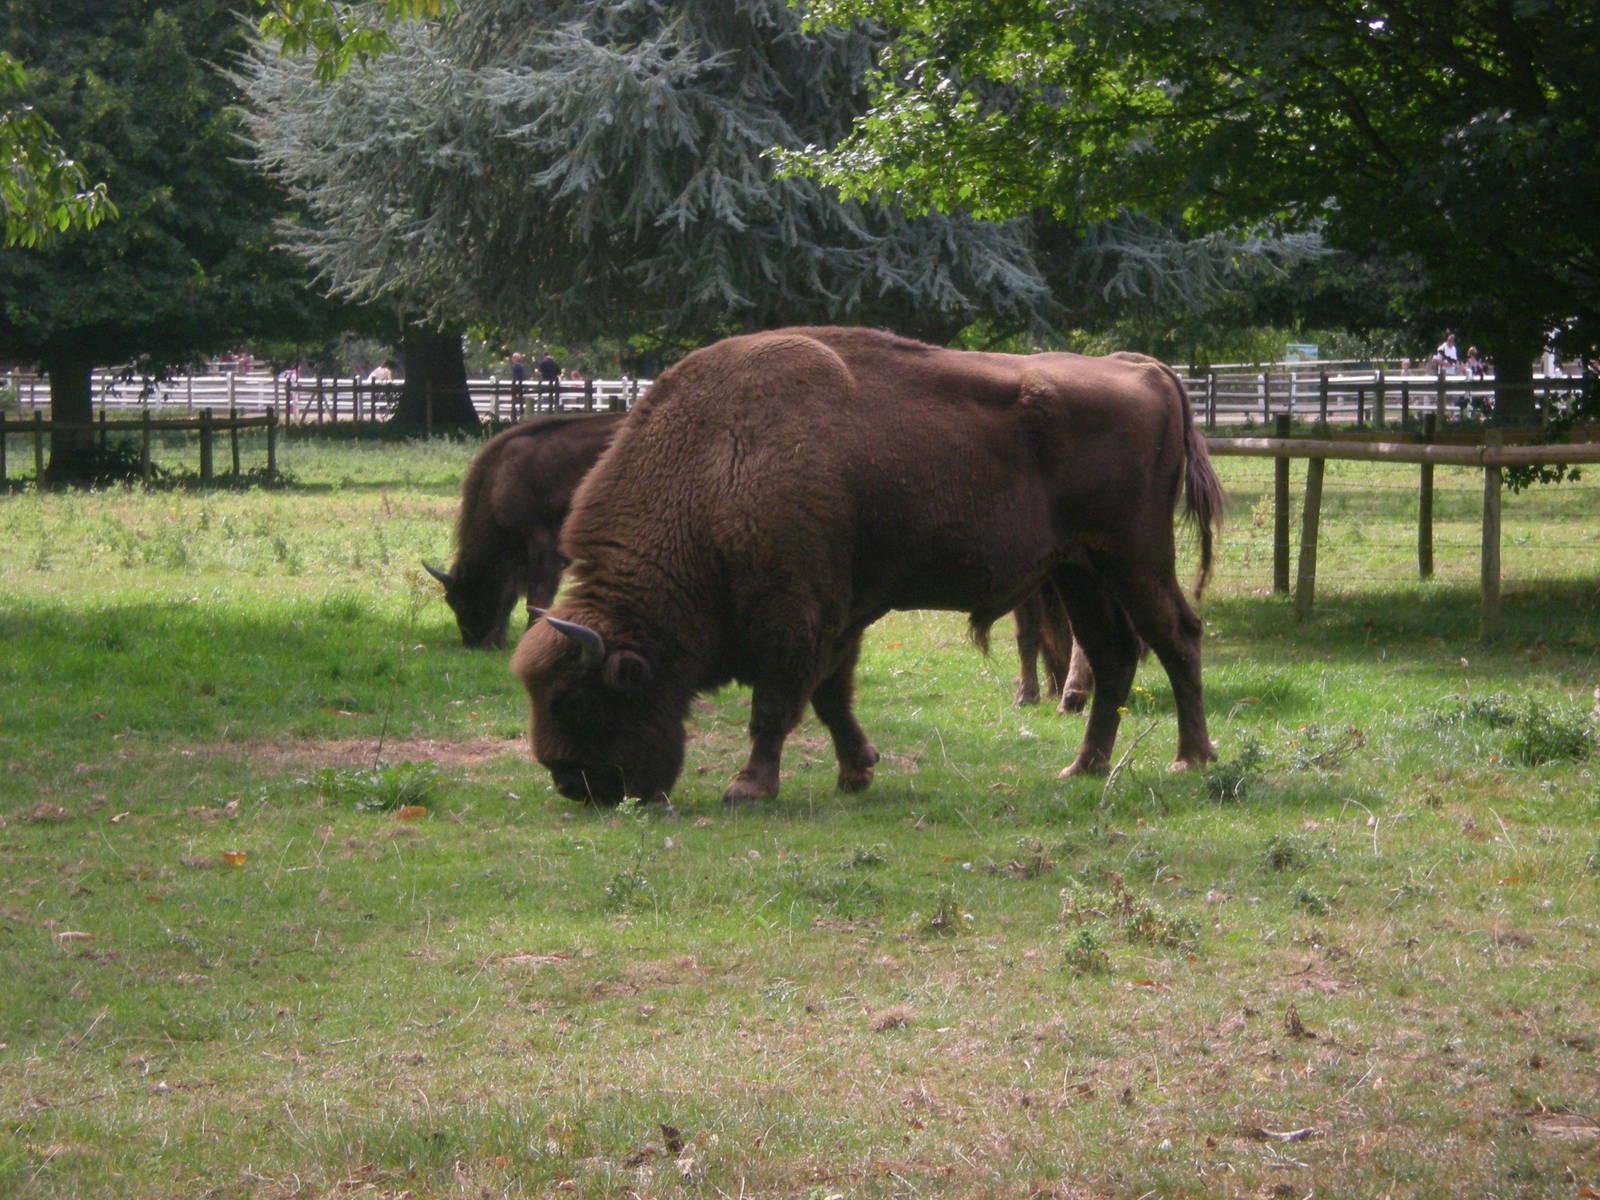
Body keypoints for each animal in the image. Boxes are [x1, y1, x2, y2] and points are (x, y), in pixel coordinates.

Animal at [513, 327, 1222, 804]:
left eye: (577, 701)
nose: (571, 783)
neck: (716, 465)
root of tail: (1144, 370)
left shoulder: (793, 616)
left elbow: (777, 703)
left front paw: (749, 787)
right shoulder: (840, 615)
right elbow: (831, 696)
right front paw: (857, 770)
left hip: (1135, 556)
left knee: (1177, 638)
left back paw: (1190, 760)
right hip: (1080, 568)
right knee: (1112, 653)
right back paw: (1084, 767)